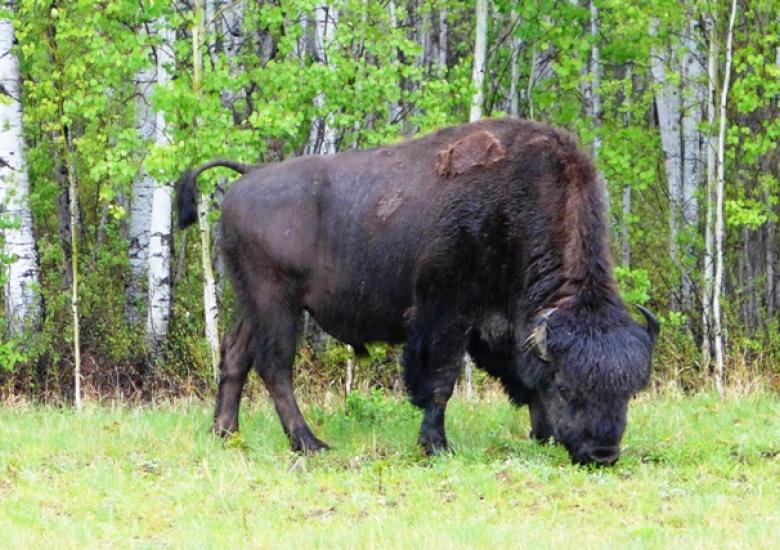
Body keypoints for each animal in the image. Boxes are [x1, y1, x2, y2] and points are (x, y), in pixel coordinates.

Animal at [176, 118, 659, 466]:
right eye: (568, 389)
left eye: (629, 392)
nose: (603, 454)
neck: (513, 207)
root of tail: (249, 174)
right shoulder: (446, 313)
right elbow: (440, 381)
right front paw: (437, 446)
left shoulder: (503, 323)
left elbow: (523, 377)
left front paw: (540, 436)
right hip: (277, 302)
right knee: (275, 366)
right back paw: (310, 444)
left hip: (251, 301)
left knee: (235, 354)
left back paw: (224, 433)